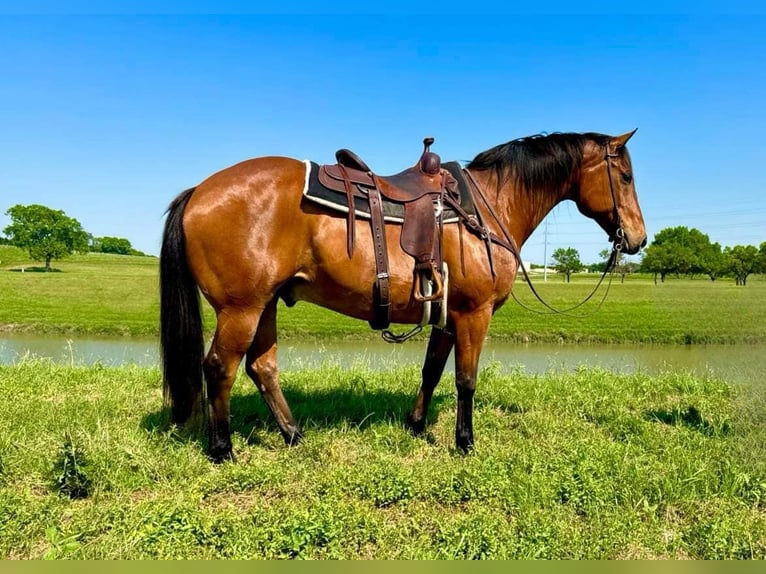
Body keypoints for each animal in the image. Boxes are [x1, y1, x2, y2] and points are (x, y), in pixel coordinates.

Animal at [160, 130, 648, 464]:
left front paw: (416, 426)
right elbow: (465, 380)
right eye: (625, 176)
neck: (488, 207)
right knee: (219, 367)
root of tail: (198, 191)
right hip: (241, 308)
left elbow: (431, 371)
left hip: (265, 305)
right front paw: (465, 443)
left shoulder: (448, 315)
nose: (639, 238)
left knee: (262, 368)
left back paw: (294, 435)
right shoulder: (474, 314)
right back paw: (223, 449)